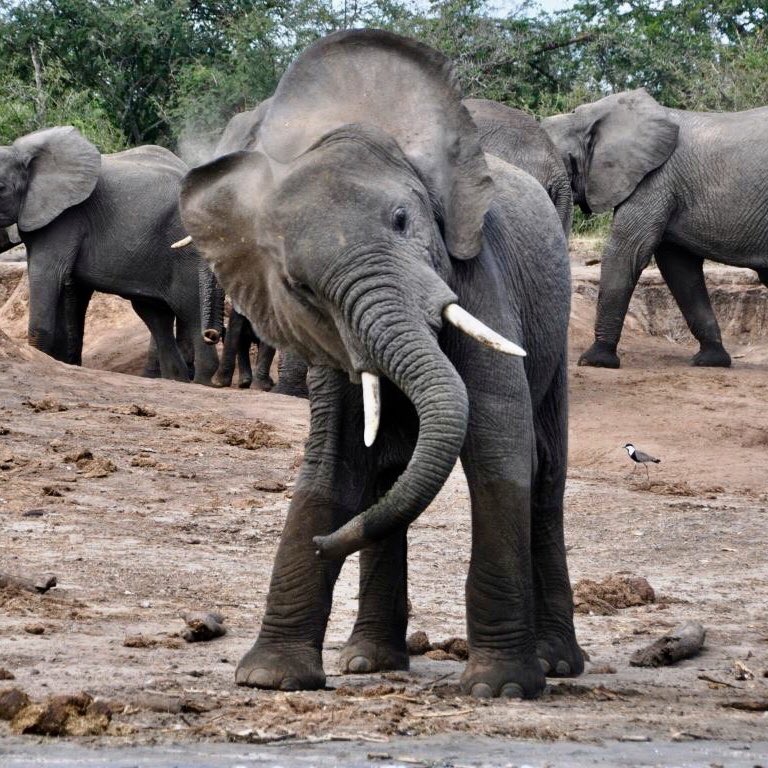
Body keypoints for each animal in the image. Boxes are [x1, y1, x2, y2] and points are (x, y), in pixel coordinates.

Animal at [0, 126, 219, 383]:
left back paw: (199, 381)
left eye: (0, 188)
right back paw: (175, 379)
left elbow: (47, 274)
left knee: (190, 309)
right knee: (157, 315)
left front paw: (43, 358)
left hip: (185, 255)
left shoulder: (66, 217)